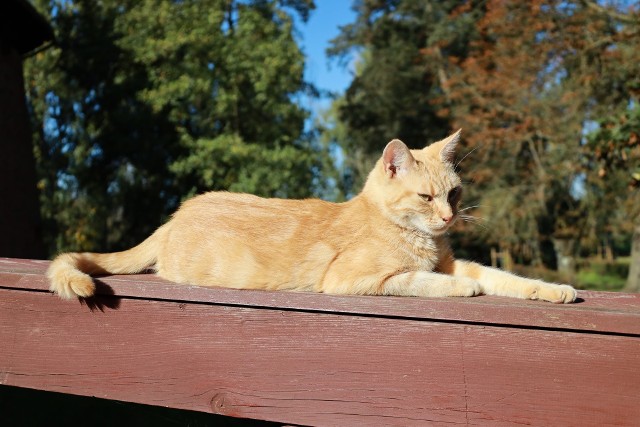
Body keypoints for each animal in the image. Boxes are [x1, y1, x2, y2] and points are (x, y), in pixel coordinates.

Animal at [47, 130, 576, 304]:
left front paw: (553, 290)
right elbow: (421, 280)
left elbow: (503, 276)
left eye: (454, 192)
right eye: (426, 197)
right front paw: (462, 289)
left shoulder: (456, 259)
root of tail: (177, 214)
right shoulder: (351, 280)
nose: (448, 218)